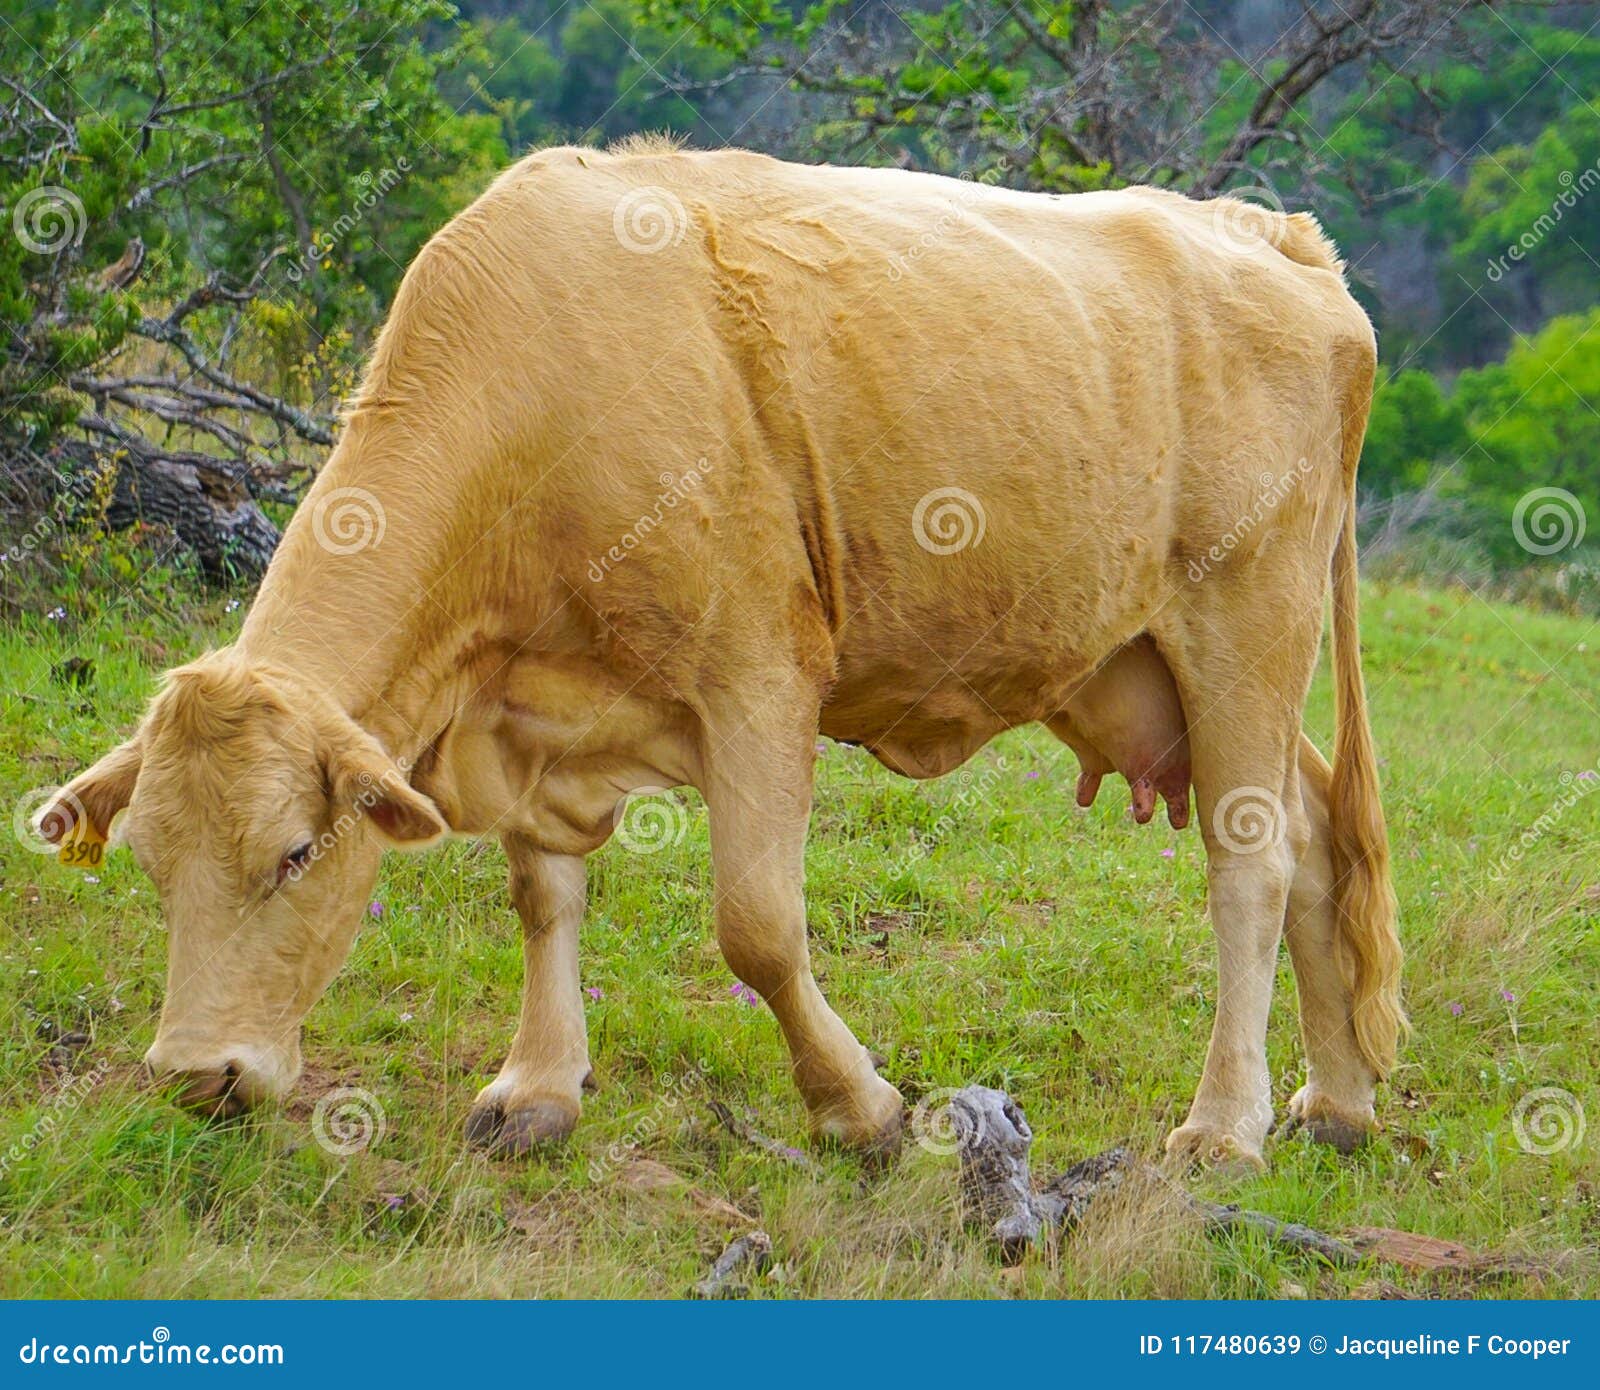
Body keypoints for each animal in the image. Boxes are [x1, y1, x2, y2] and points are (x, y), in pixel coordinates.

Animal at [41, 137, 1404, 1169]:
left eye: (294, 852)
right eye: (151, 862)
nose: (198, 1074)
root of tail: (1269, 234)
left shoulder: (757, 678)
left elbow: (756, 925)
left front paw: (859, 1107)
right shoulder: (531, 712)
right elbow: (544, 893)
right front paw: (537, 1086)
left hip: (1248, 615)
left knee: (1251, 866)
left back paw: (1222, 1128)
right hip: (1142, 663)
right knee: (1312, 844)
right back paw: (1336, 1103)